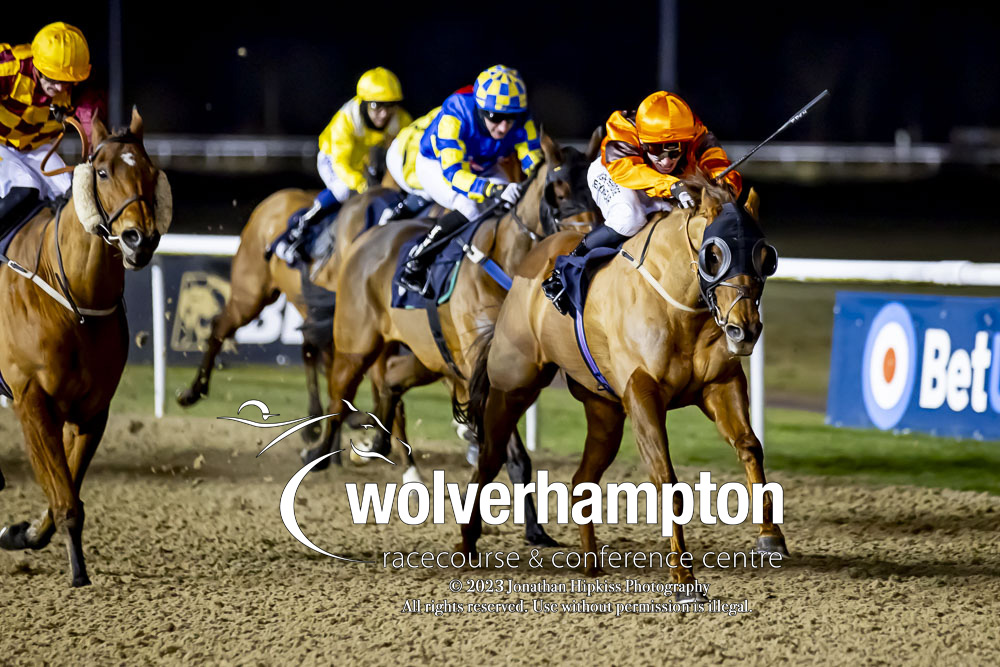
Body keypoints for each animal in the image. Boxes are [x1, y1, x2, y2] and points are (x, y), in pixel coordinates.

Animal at [0, 112, 171, 588]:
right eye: (103, 172)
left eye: (150, 171)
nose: (139, 240)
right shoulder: (31, 401)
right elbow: (63, 495)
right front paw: (77, 570)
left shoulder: (93, 409)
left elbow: (67, 487)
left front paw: (25, 532)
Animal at [456, 175, 788, 588]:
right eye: (714, 255)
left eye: (765, 257)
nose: (745, 330)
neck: (677, 305)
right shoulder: (642, 394)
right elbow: (666, 479)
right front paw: (684, 577)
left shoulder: (720, 383)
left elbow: (749, 447)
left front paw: (771, 536)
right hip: (513, 387)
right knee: (489, 459)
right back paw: (466, 542)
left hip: (604, 412)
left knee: (581, 480)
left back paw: (591, 562)